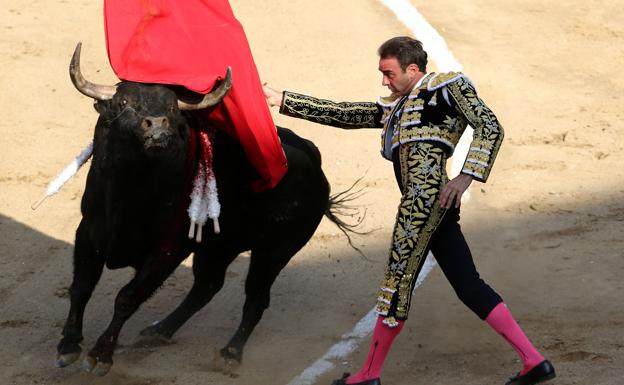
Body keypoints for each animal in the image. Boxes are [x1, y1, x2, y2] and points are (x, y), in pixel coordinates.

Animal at [57, 42, 360, 376]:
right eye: (123, 102)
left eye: (172, 108)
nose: (157, 125)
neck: (130, 193)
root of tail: (316, 165)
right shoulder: (89, 232)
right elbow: (81, 286)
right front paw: (68, 345)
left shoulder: (167, 251)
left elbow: (127, 297)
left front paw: (100, 355)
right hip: (219, 246)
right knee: (207, 286)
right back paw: (160, 330)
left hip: (275, 250)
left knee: (256, 296)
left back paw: (230, 353)